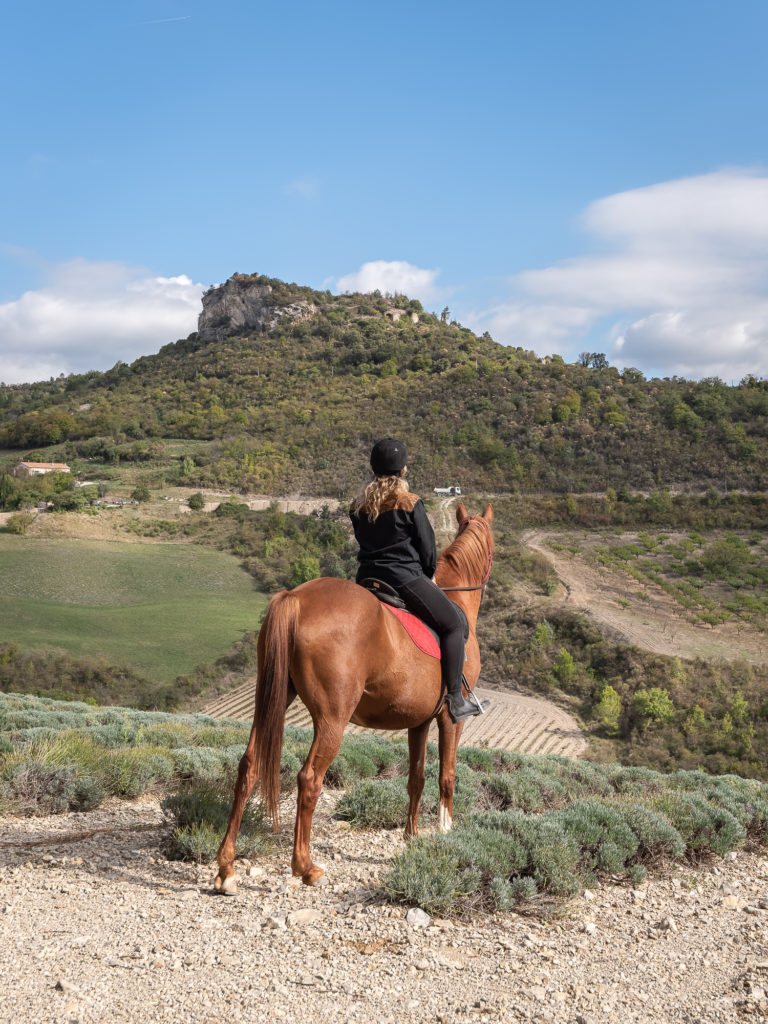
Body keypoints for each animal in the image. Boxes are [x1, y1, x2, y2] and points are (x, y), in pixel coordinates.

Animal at [214, 499, 495, 892]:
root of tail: (294, 598)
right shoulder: (449, 719)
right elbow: (447, 777)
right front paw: (445, 830)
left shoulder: (418, 722)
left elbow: (416, 778)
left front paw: (411, 836)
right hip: (333, 718)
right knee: (309, 780)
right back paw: (305, 867)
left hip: (270, 702)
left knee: (249, 766)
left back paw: (226, 868)